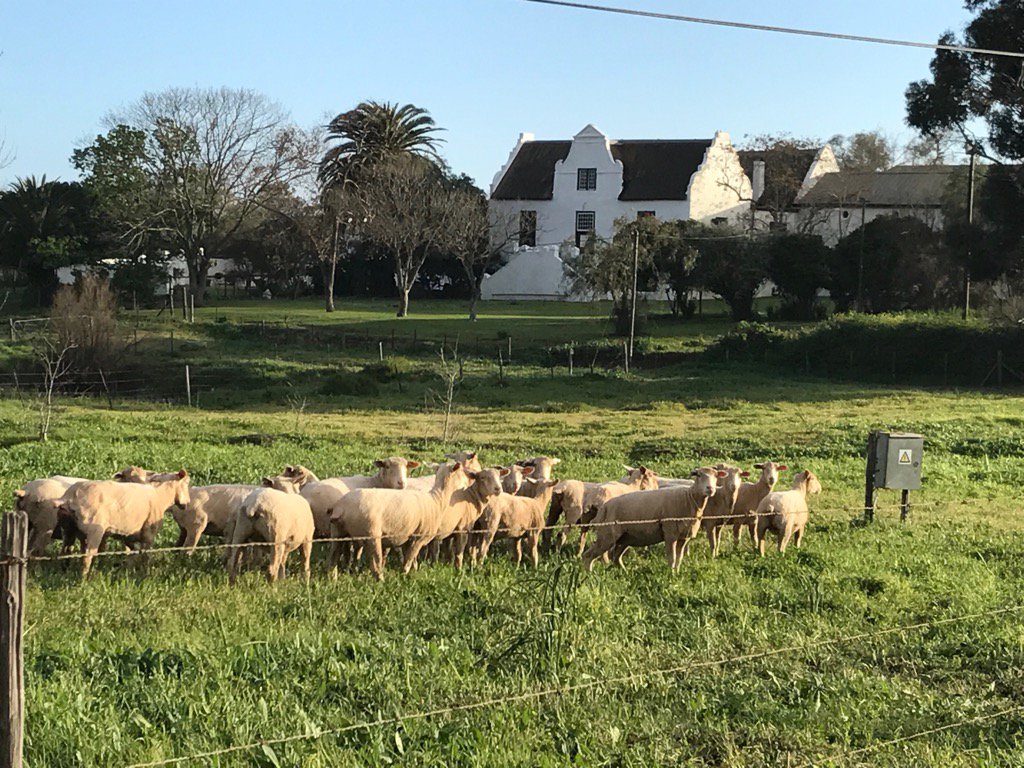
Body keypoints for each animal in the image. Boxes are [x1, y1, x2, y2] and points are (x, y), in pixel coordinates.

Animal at [58, 471, 191, 578]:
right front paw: (145, 572)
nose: (187, 503)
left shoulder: (128, 535)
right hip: (93, 531)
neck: (160, 495)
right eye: (186, 483)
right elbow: (145, 555)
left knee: (65, 551)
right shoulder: (148, 534)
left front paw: (126, 570)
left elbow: (132, 552)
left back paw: (64, 572)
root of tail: (71, 497)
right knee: (87, 555)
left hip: (69, 529)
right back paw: (83, 579)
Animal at [328, 462, 469, 580]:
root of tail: (342, 507)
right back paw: (381, 580)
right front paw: (403, 576)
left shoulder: (409, 536)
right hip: (371, 534)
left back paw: (332, 579)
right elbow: (409, 559)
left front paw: (413, 573)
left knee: (333, 557)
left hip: (337, 533)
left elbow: (411, 560)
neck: (437, 500)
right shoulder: (418, 538)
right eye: (461, 471)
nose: (469, 480)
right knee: (375, 563)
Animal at [582, 467, 724, 572]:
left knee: (616, 558)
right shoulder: (670, 533)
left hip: (624, 538)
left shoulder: (684, 537)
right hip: (607, 535)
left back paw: (625, 573)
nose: (710, 489)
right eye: (699, 475)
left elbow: (679, 558)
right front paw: (671, 575)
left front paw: (677, 573)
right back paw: (590, 575)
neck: (688, 499)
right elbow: (672, 558)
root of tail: (603, 508)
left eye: (716, 477)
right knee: (588, 555)